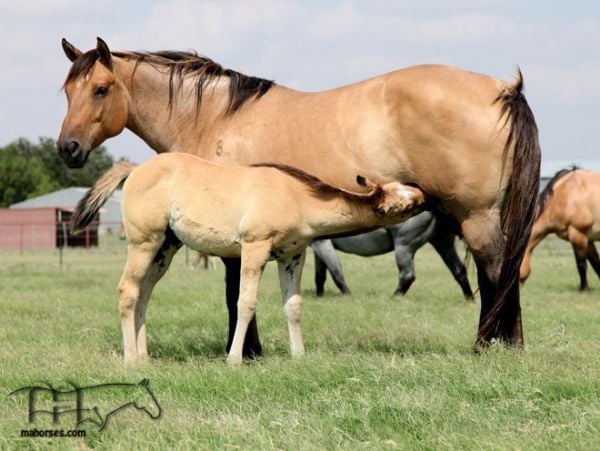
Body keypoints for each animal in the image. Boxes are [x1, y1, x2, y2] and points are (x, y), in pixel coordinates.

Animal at [71, 154, 426, 366]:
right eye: (404, 200)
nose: (424, 194)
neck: (296, 197)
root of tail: (135, 169)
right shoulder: (255, 249)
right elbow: (246, 303)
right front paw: (234, 359)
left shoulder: (293, 256)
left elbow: (293, 306)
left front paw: (299, 355)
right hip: (144, 242)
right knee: (127, 291)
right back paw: (131, 359)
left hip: (165, 249)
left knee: (144, 294)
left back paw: (144, 355)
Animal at [310, 212, 474, 300]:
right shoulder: (319, 247)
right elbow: (320, 277)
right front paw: (319, 298)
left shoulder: (322, 244)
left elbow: (337, 274)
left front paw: (349, 297)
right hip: (442, 244)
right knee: (459, 270)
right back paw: (470, 300)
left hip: (403, 247)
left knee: (407, 276)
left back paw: (394, 298)